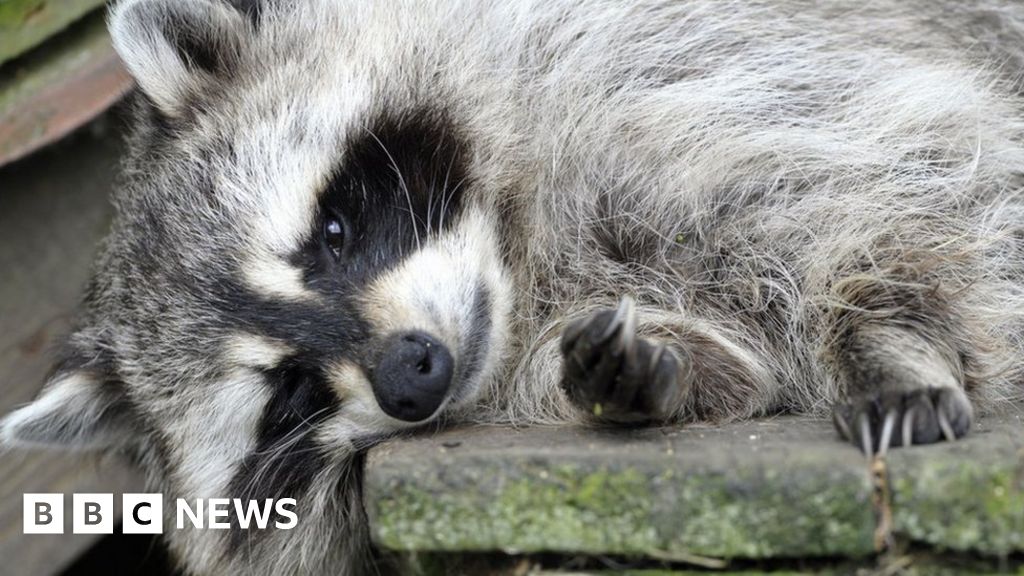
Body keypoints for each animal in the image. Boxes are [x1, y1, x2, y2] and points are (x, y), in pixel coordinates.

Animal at [6, 0, 1024, 569]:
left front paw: (886, 333)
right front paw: (647, 374)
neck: (522, 264)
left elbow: (899, 187)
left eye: (332, 236)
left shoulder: (661, 75)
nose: (411, 372)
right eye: (290, 396)